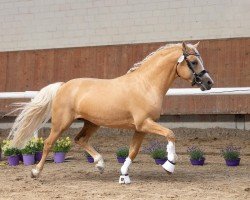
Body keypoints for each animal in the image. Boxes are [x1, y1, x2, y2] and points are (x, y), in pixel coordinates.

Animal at [8, 41, 214, 184]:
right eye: (193, 61)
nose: (209, 82)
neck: (146, 85)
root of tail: (63, 86)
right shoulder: (144, 123)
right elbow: (170, 134)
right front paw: (169, 165)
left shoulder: (140, 128)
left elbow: (133, 151)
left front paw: (124, 175)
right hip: (61, 123)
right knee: (49, 143)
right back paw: (35, 172)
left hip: (92, 123)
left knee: (80, 139)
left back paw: (100, 164)